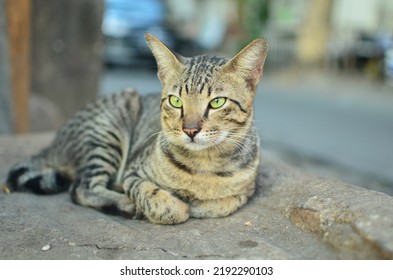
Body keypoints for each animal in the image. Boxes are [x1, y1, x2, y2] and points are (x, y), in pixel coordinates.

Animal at [3, 33, 266, 225]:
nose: (190, 130)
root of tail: (51, 146)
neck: (204, 164)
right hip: (107, 132)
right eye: (176, 101)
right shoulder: (134, 171)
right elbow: (151, 194)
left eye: (217, 102)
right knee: (81, 187)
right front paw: (172, 205)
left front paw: (196, 202)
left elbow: (222, 203)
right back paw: (126, 204)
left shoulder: (246, 190)